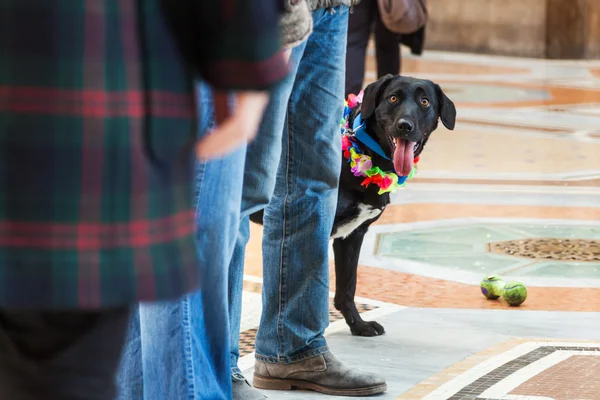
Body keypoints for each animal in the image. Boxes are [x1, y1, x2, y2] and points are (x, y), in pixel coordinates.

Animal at [252, 75, 454, 338]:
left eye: (425, 101)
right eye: (393, 98)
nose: (405, 126)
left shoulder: (352, 235)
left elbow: (347, 287)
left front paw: (358, 325)